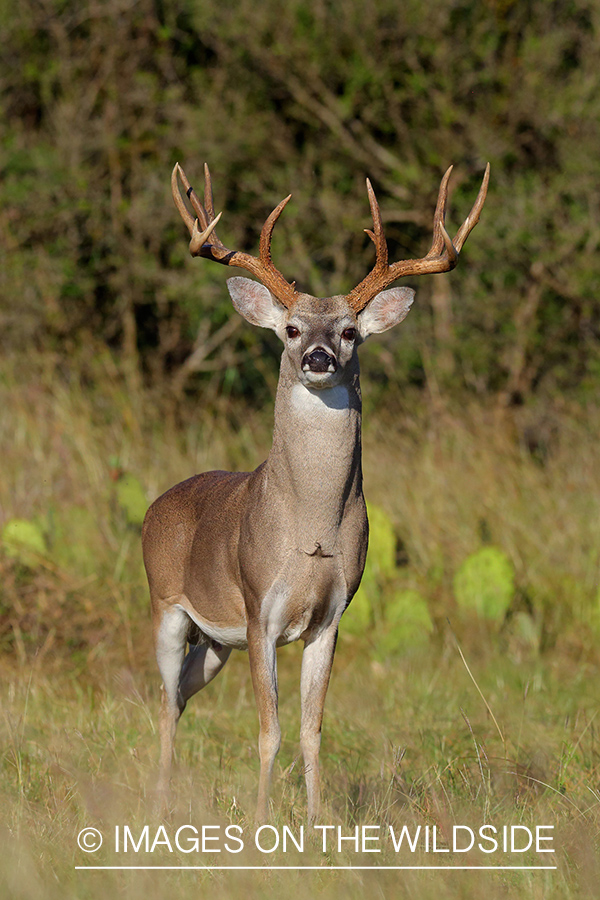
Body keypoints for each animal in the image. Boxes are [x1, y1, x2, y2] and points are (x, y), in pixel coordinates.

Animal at [143, 156, 490, 824]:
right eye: (291, 328)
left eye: (352, 331)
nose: (321, 357)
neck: (311, 532)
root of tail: (155, 505)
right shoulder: (259, 610)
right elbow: (268, 731)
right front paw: (259, 823)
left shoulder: (330, 617)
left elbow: (311, 730)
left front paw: (314, 821)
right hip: (167, 606)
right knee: (166, 704)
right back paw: (161, 806)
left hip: (215, 641)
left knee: (181, 699)